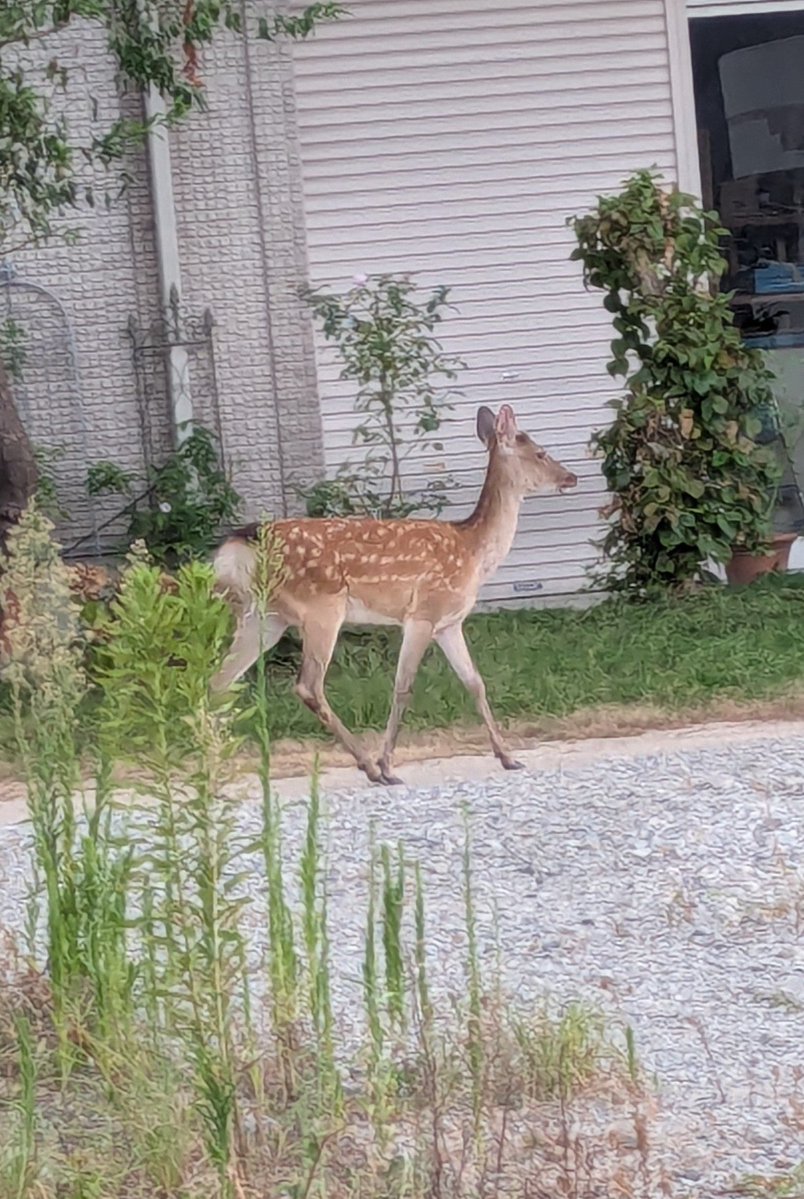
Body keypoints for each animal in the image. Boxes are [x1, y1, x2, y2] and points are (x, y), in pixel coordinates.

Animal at [211, 404, 578, 785]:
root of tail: (240, 546)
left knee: (218, 681)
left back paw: (215, 763)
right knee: (307, 685)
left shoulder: (449, 623)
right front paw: (387, 762)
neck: (474, 552)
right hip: (320, 607)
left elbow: (475, 682)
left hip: (266, 617)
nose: (571, 477)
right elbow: (403, 686)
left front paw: (508, 756)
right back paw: (370, 766)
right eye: (541, 453)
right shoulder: (423, 612)